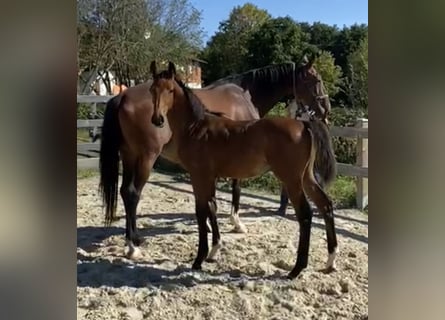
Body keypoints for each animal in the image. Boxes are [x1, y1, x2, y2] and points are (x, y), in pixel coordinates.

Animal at [149, 61, 336, 278]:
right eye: (152, 90)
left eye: (170, 90)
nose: (157, 119)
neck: (196, 126)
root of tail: (304, 124)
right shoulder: (208, 176)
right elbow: (211, 207)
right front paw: (213, 251)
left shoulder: (199, 176)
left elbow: (202, 212)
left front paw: (199, 259)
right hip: (306, 177)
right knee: (325, 205)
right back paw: (330, 261)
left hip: (292, 179)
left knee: (305, 214)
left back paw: (297, 269)